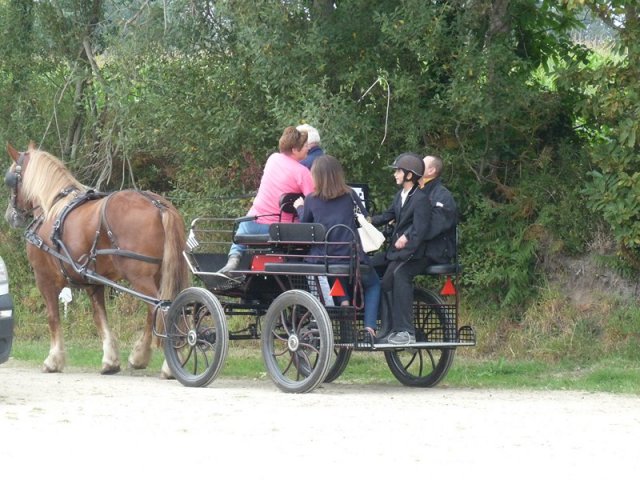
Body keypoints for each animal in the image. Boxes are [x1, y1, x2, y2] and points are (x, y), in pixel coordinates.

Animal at [4, 142, 190, 376]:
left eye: (10, 179)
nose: (10, 216)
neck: (51, 208)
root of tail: (159, 205)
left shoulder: (44, 278)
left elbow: (53, 317)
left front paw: (53, 360)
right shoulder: (93, 281)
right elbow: (100, 317)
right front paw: (110, 361)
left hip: (140, 277)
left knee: (164, 309)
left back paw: (169, 365)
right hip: (160, 275)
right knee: (158, 311)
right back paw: (140, 356)